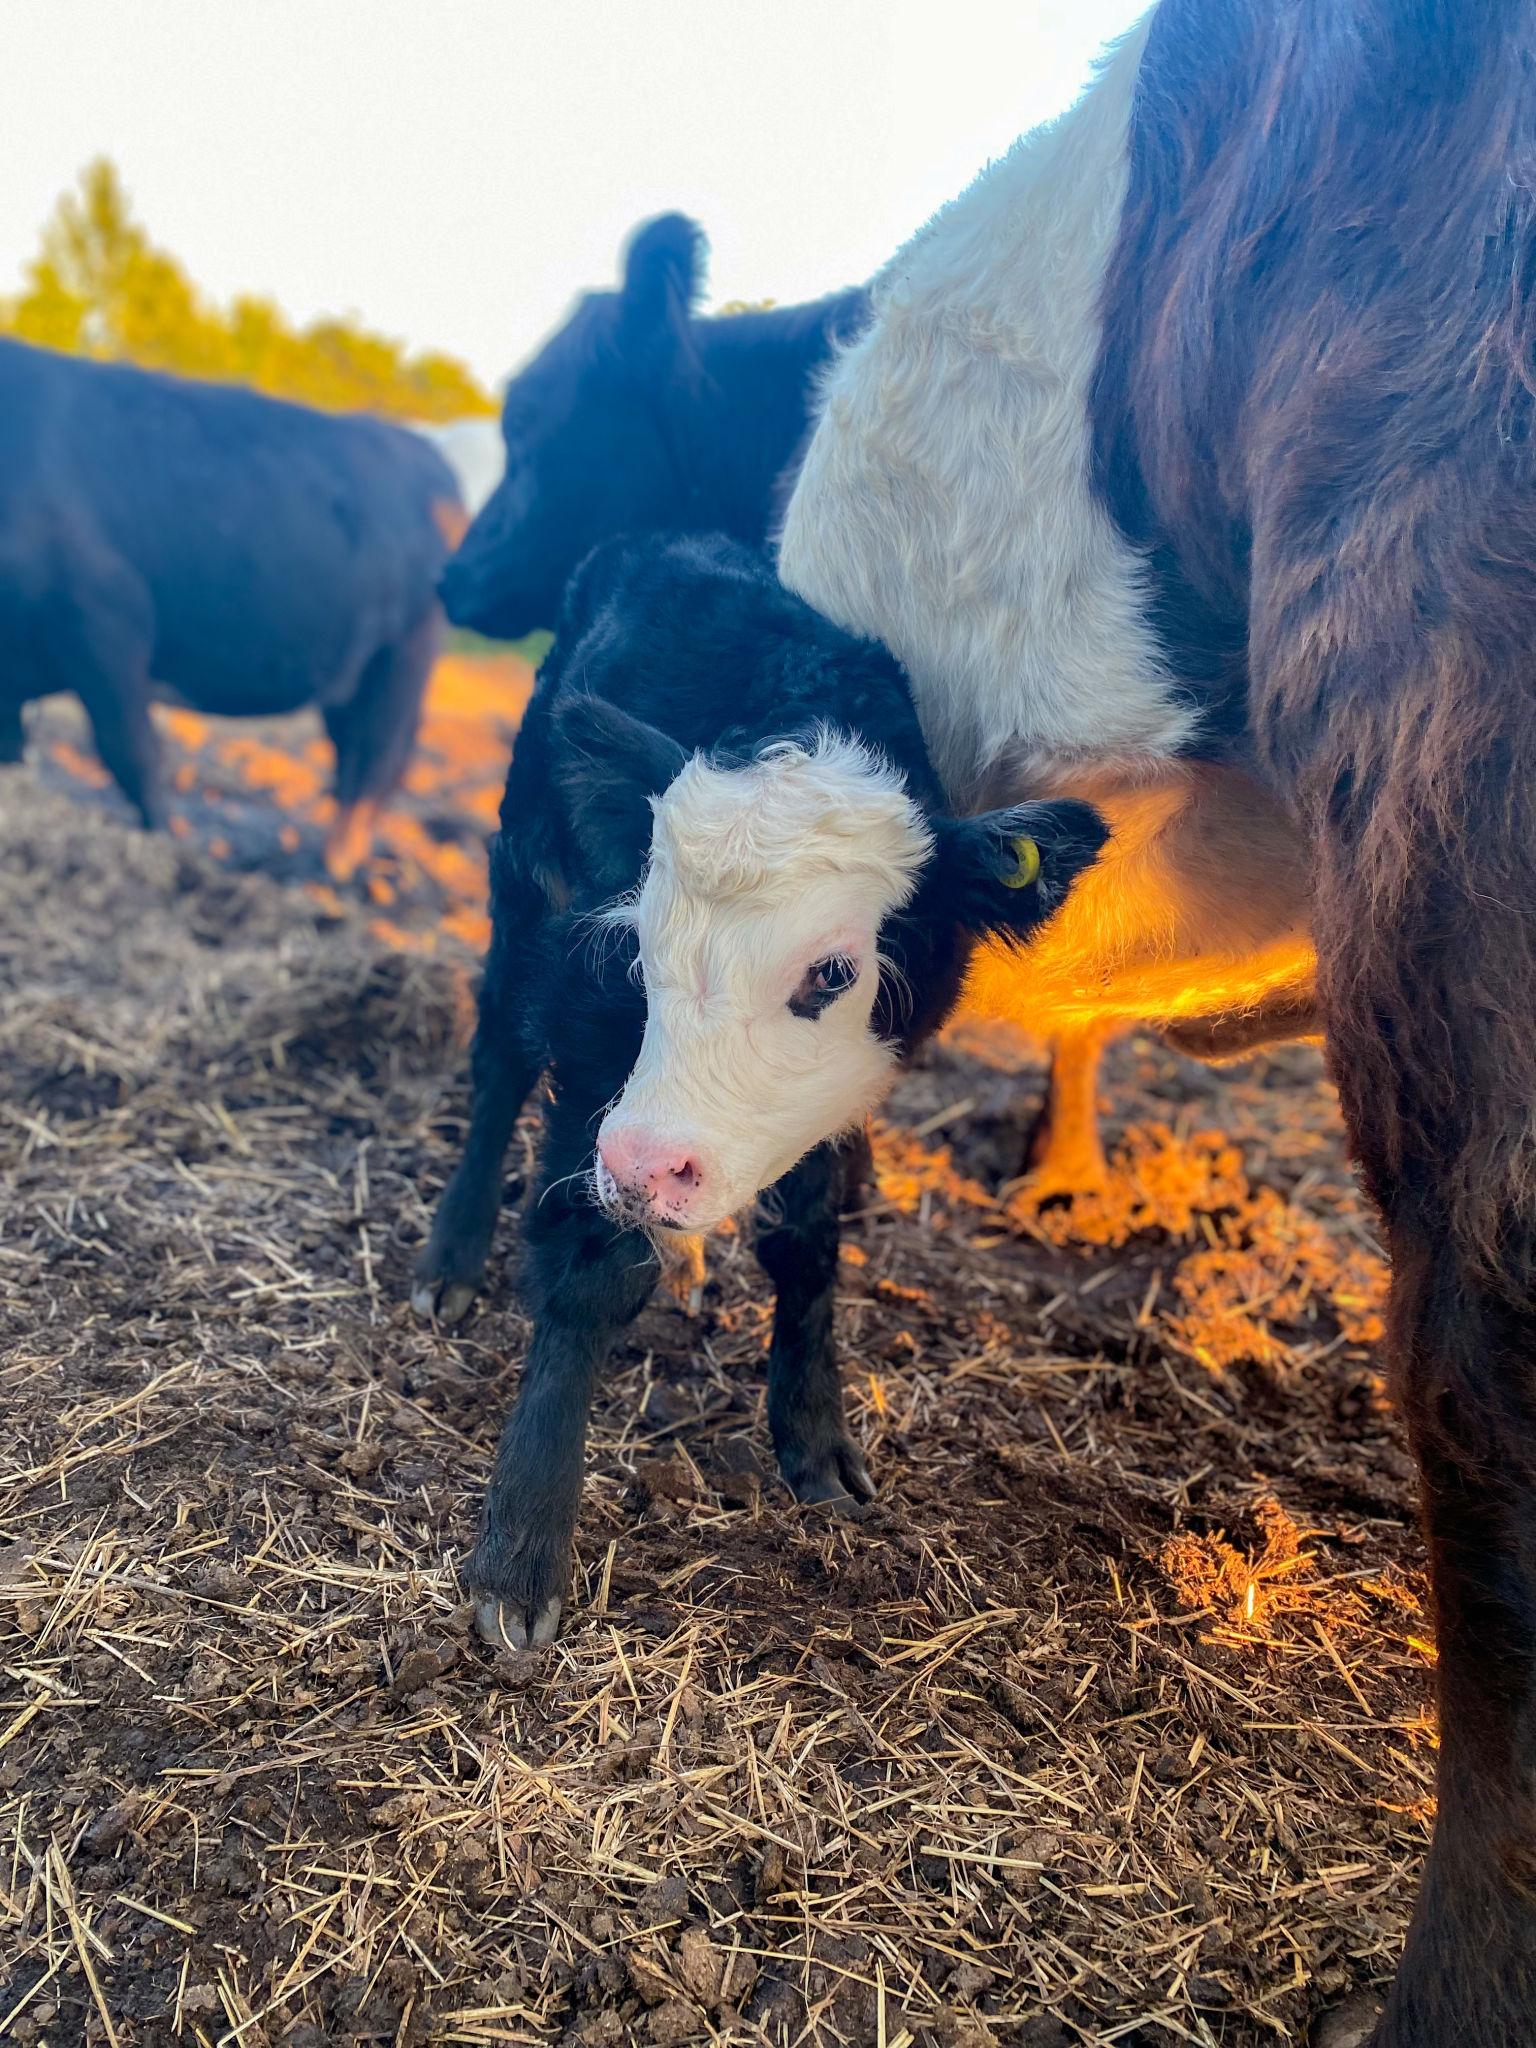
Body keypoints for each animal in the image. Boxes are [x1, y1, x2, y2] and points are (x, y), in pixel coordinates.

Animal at [0, 339, 461, 879]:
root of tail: (424, 452)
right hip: (353, 671)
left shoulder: (106, 620)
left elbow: (131, 752)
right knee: (355, 749)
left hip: (406, 651)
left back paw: (332, 871)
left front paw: (168, 847)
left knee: (375, 754)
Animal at [411, 532, 1104, 1646]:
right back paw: (453, 1258)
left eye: (833, 973)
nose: (647, 1166)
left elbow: (809, 1235)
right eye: (637, 943)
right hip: (523, 889)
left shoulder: (835, 1098)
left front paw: (815, 1438)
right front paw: (520, 1551)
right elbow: (591, 1263)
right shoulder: (592, 1026)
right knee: (499, 1061)